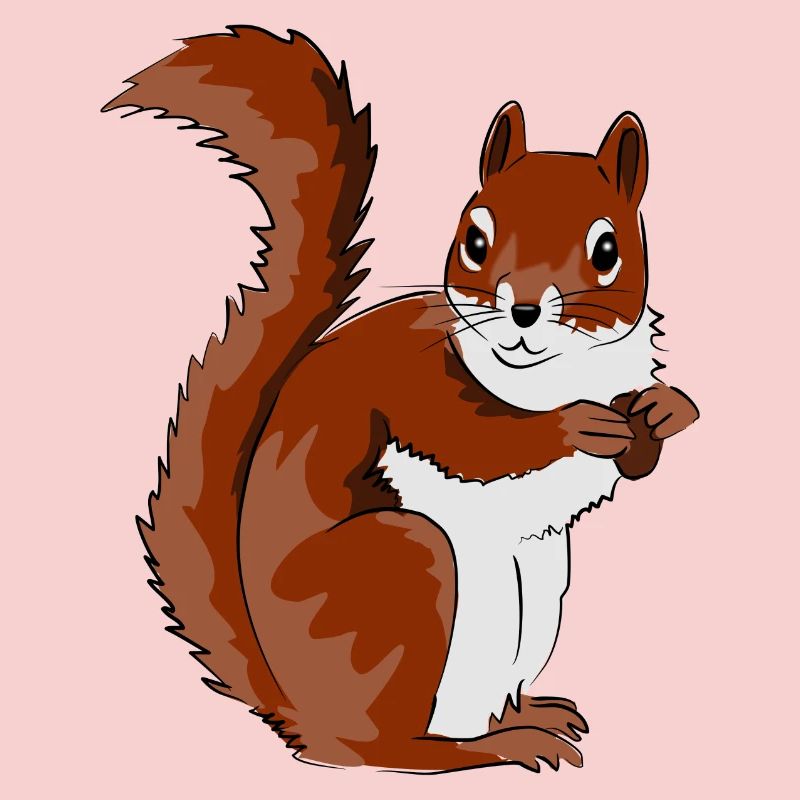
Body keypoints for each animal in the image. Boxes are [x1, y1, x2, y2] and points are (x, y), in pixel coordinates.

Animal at [103, 25, 699, 773]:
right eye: (475, 239)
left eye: (608, 249)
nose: (524, 311)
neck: (550, 375)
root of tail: (297, 712)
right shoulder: (415, 385)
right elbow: (479, 443)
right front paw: (573, 428)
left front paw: (664, 411)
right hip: (406, 571)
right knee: (386, 747)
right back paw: (487, 747)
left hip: (537, 590)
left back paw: (526, 716)